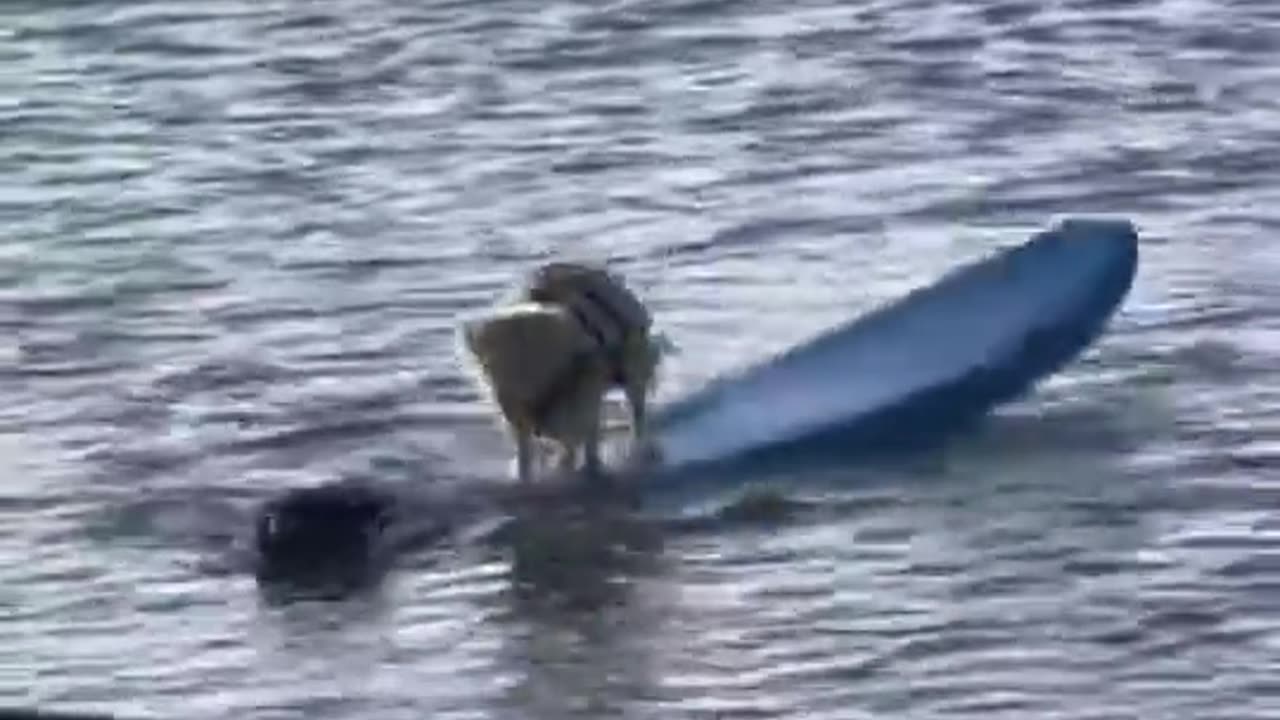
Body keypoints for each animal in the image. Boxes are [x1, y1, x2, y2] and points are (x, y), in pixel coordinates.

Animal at [455, 260, 665, 479]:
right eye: (490, 371)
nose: (510, 405)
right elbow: (529, 451)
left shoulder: (580, 396)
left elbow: (584, 438)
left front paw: (587, 467)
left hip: (633, 365)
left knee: (636, 408)